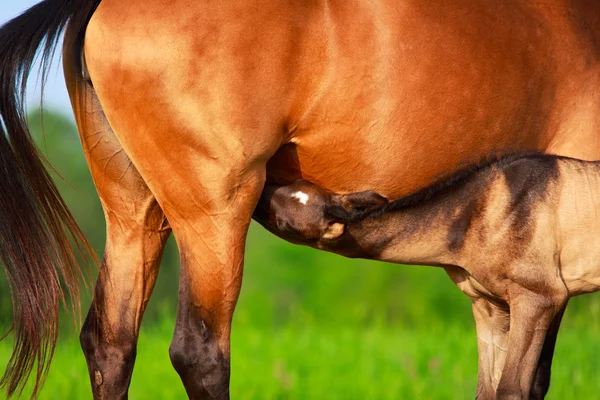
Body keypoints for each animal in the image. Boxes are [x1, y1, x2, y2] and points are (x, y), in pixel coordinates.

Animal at [254, 152, 600, 396]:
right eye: (289, 186)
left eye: (283, 219)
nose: (257, 195)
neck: (480, 212)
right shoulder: (491, 306)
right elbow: (488, 390)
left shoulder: (540, 296)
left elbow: (512, 389)